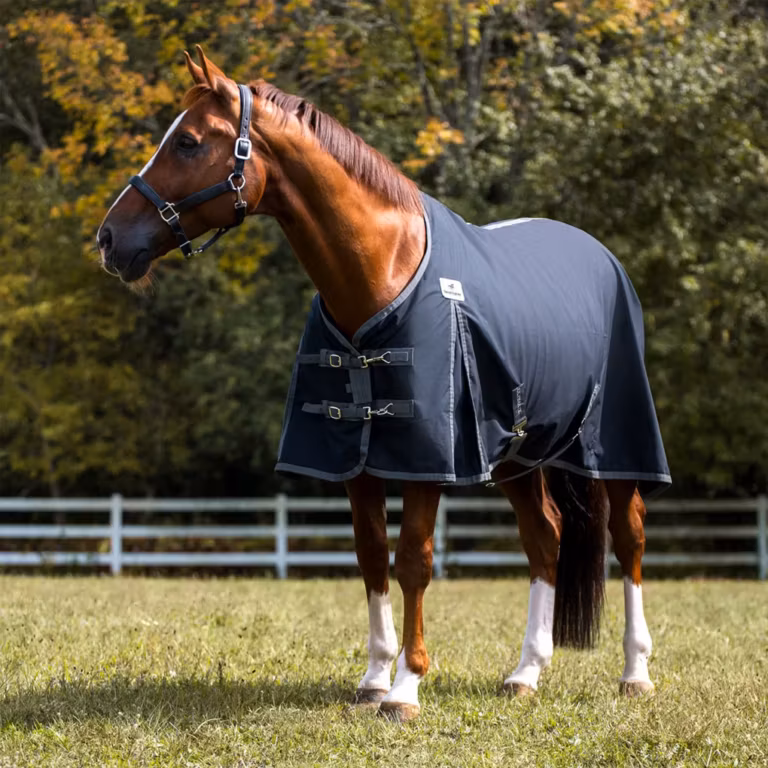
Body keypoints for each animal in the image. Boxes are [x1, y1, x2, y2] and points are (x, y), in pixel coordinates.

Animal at [97, 47, 670, 722]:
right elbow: (372, 557)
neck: (382, 273)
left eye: (187, 142)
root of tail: (600, 256)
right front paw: (373, 677)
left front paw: (406, 687)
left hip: (615, 445)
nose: (110, 239)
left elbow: (414, 560)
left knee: (629, 538)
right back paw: (526, 671)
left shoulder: (428, 459)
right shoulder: (357, 459)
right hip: (517, 455)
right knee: (545, 538)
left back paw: (635, 673)